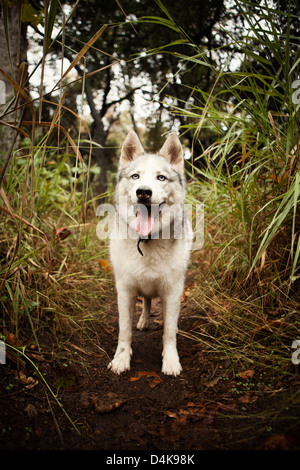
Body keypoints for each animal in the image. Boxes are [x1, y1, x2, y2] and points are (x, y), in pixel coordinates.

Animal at [109, 130, 191, 376]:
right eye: (135, 176)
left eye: (161, 178)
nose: (143, 192)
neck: (146, 241)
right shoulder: (125, 290)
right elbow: (124, 330)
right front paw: (121, 358)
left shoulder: (173, 291)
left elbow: (169, 332)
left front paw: (170, 360)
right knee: (145, 301)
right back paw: (144, 320)